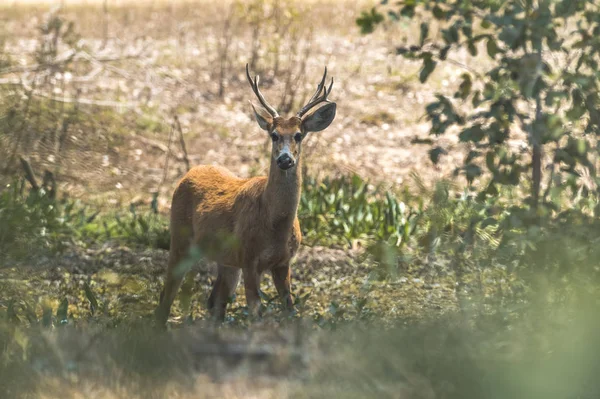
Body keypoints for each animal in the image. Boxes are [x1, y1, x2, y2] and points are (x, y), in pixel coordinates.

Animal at [155, 63, 338, 324]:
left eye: (298, 135)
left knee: (215, 301)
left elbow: (290, 308)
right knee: (168, 292)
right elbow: (256, 312)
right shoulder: (249, 259)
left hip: (227, 260)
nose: (285, 159)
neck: (275, 225)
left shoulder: (283, 262)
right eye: (274, 135)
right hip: (181, 238)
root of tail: (188, 173)